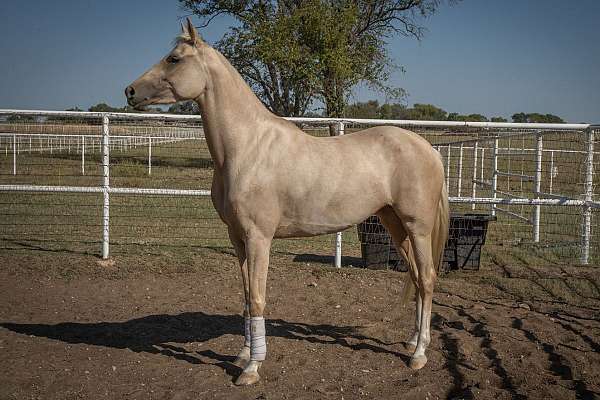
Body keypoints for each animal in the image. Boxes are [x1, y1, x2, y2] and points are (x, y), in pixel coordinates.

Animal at [125, 19, 446, 388]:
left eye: (174, 58)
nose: (129, 92)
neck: (246, 147)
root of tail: (429, 149)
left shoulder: (259, 238)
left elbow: (257, 299)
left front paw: (251, 369)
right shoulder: (237, 239)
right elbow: (246, 298)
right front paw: (243, 354)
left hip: (417, 228)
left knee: (427, 279)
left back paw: (418, 355)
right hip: (394, 224)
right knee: (416, 278)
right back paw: (412, 340)